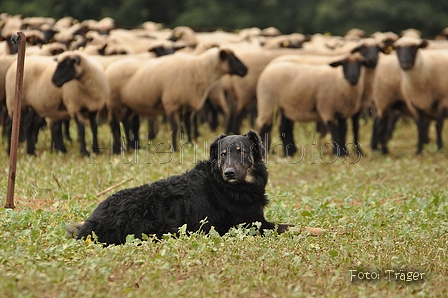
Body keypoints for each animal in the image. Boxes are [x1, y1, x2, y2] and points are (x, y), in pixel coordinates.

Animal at [68, 130, 288, 244]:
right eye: (223, 154)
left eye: (241, 151)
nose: (229, 173)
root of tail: (91, 225)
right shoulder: (251, 224)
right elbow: (287, 226)